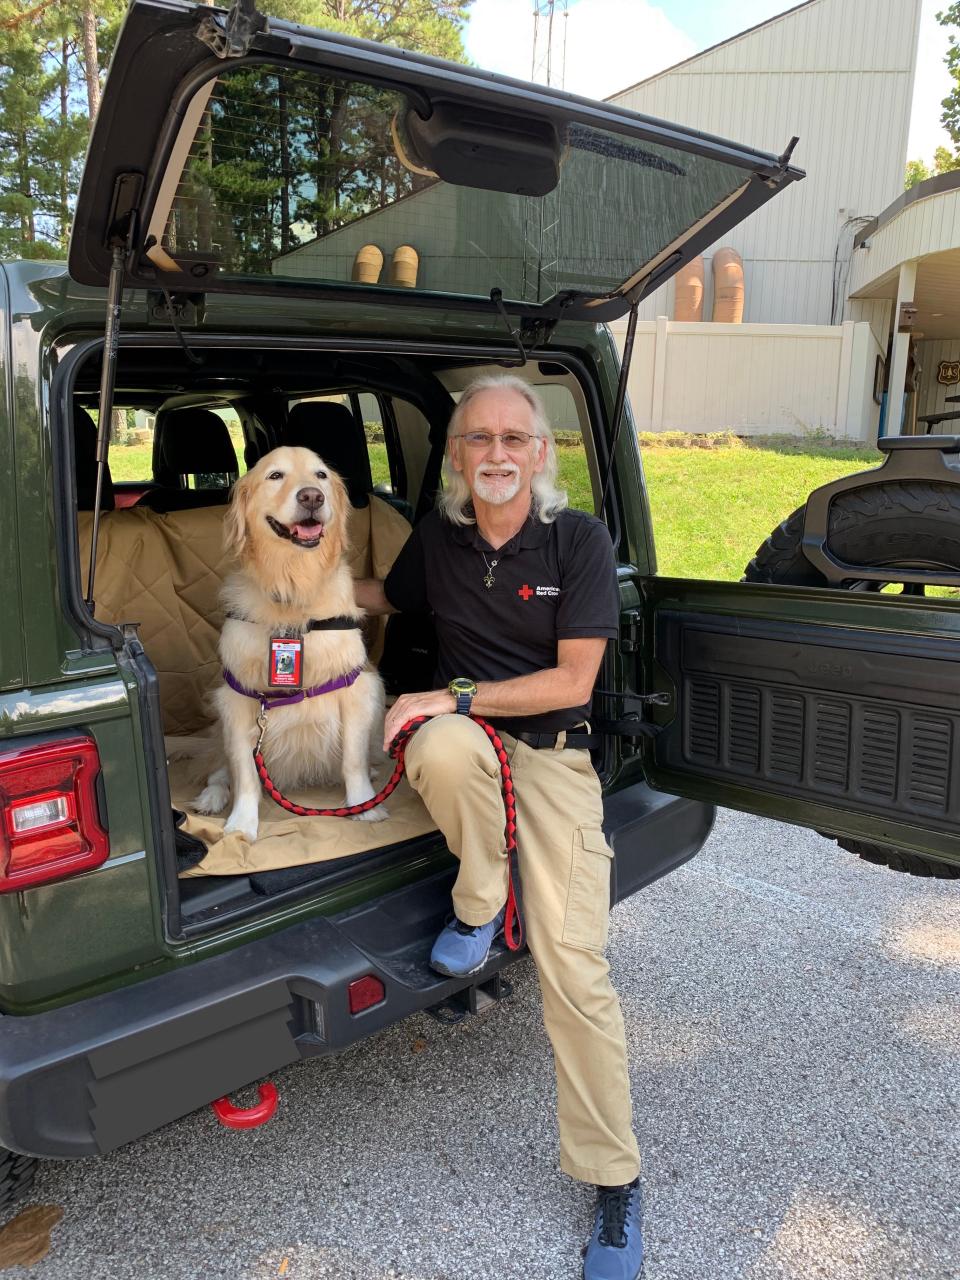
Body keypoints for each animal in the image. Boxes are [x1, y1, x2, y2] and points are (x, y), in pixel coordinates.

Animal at [195, 445, 386, 844]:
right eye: (275, 475)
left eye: (321, 475)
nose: (312, 496)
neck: (293, 588)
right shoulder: (237, 699)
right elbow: (244, 773)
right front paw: (241, 824)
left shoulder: (357, 688)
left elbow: (353, 759)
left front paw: (366, 806)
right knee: (220, 770)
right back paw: (211, 797)